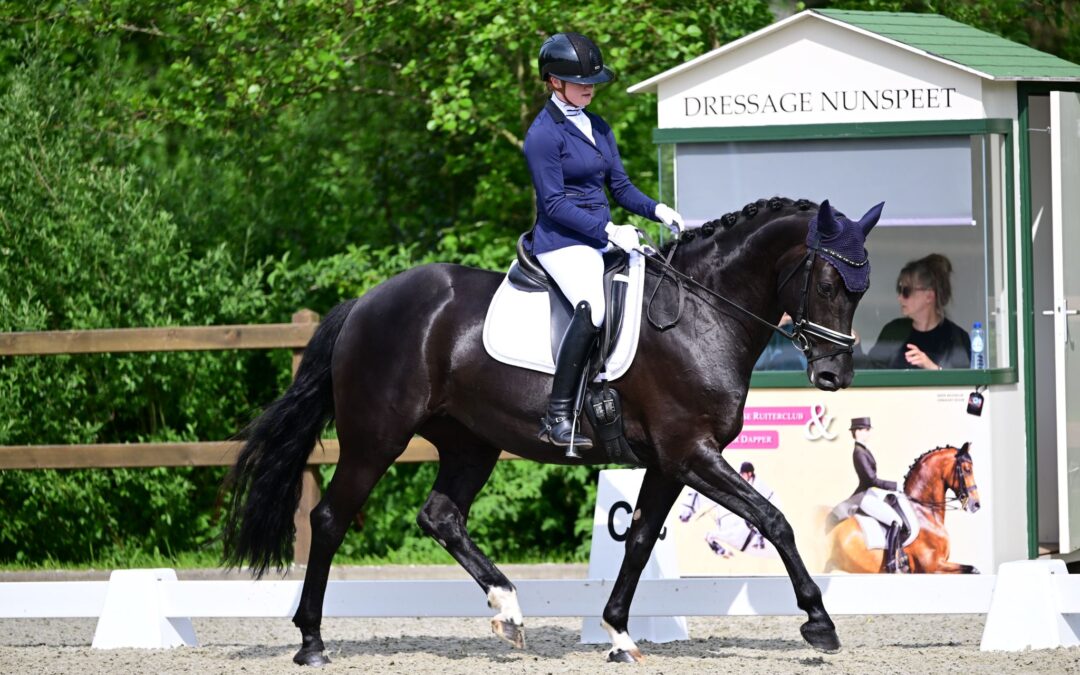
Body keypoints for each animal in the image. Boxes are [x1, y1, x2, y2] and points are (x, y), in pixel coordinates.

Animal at [223, 194, 881, 665]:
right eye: (827, 284)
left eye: (862, 288)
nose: (833, 374)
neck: (702, 312)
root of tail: (364, 303)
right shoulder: (691, 451)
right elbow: (773, 520)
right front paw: (819, 623)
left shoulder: (669, 461)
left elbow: (640, 541)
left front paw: (619, 635)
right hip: (375, 438)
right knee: (330, 519)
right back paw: (311, 643)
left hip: (471, 443)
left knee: (440, 516)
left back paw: (509, 610)